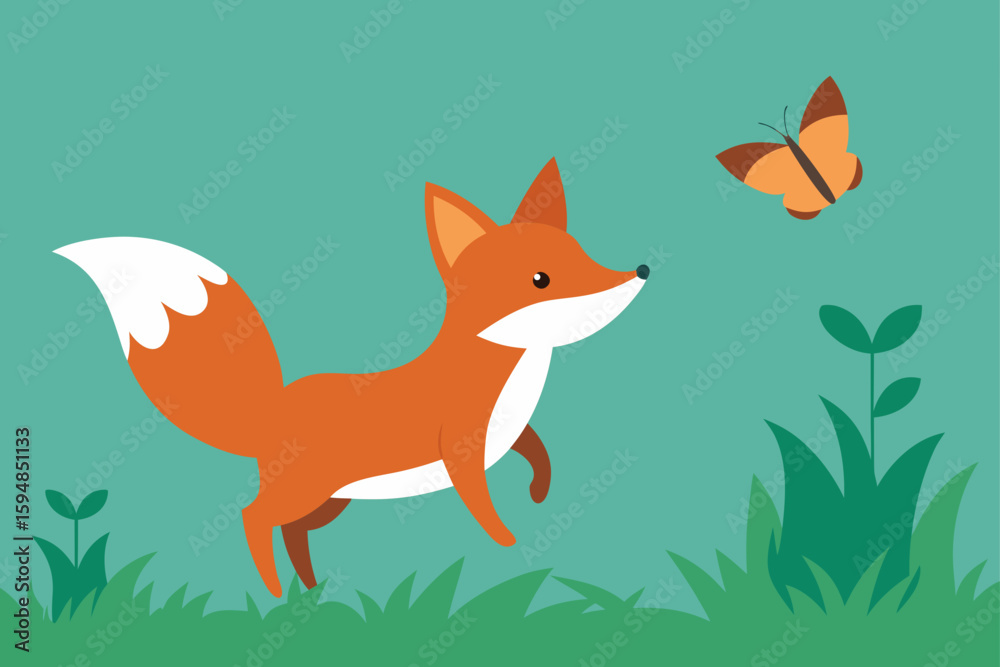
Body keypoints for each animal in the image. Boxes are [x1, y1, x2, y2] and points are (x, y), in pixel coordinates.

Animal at [54, 158, 648, 597]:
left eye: (584, 255)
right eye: (540, 279)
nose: (640, 271)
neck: (516, 373)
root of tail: (273, 405)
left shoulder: (504, 433)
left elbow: (538, 451)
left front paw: (539, 492)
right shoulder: (460, 446)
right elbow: (483, 506)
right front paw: (508, 541)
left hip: (328, 504)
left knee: (292, 534)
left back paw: (310, 590)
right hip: (305, 491)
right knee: (253, 517)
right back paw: (275, 591)